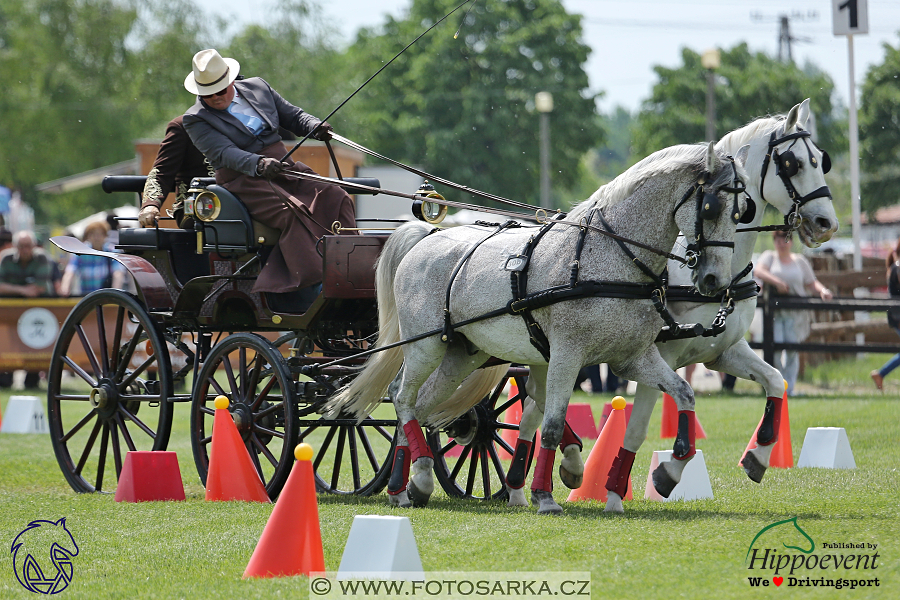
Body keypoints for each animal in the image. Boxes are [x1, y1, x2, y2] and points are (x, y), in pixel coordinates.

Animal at [330, 142, 752, 516]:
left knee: (418, 406)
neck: (609, 259)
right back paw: (414, 476)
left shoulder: (633, 358)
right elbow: (550, 424)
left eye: (741, 212)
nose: (714, 280)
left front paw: (669, 471)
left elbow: (684, 394)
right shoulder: (567, 354)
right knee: (401, 397)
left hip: (462, 355)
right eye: (711, 208)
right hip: (427, 345)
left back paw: (405, 486)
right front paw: (546, 496)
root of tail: (426, 235)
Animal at [516, 98, 840, 510]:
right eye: (792, 163)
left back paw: (519, 487)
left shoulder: (723, 350)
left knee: (532, 409)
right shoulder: (660, 356)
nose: (826, 223)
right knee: (535, 407)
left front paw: (758, 455)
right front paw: (642, 484)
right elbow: (636, 430)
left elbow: (775, 380)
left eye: (820, 159)